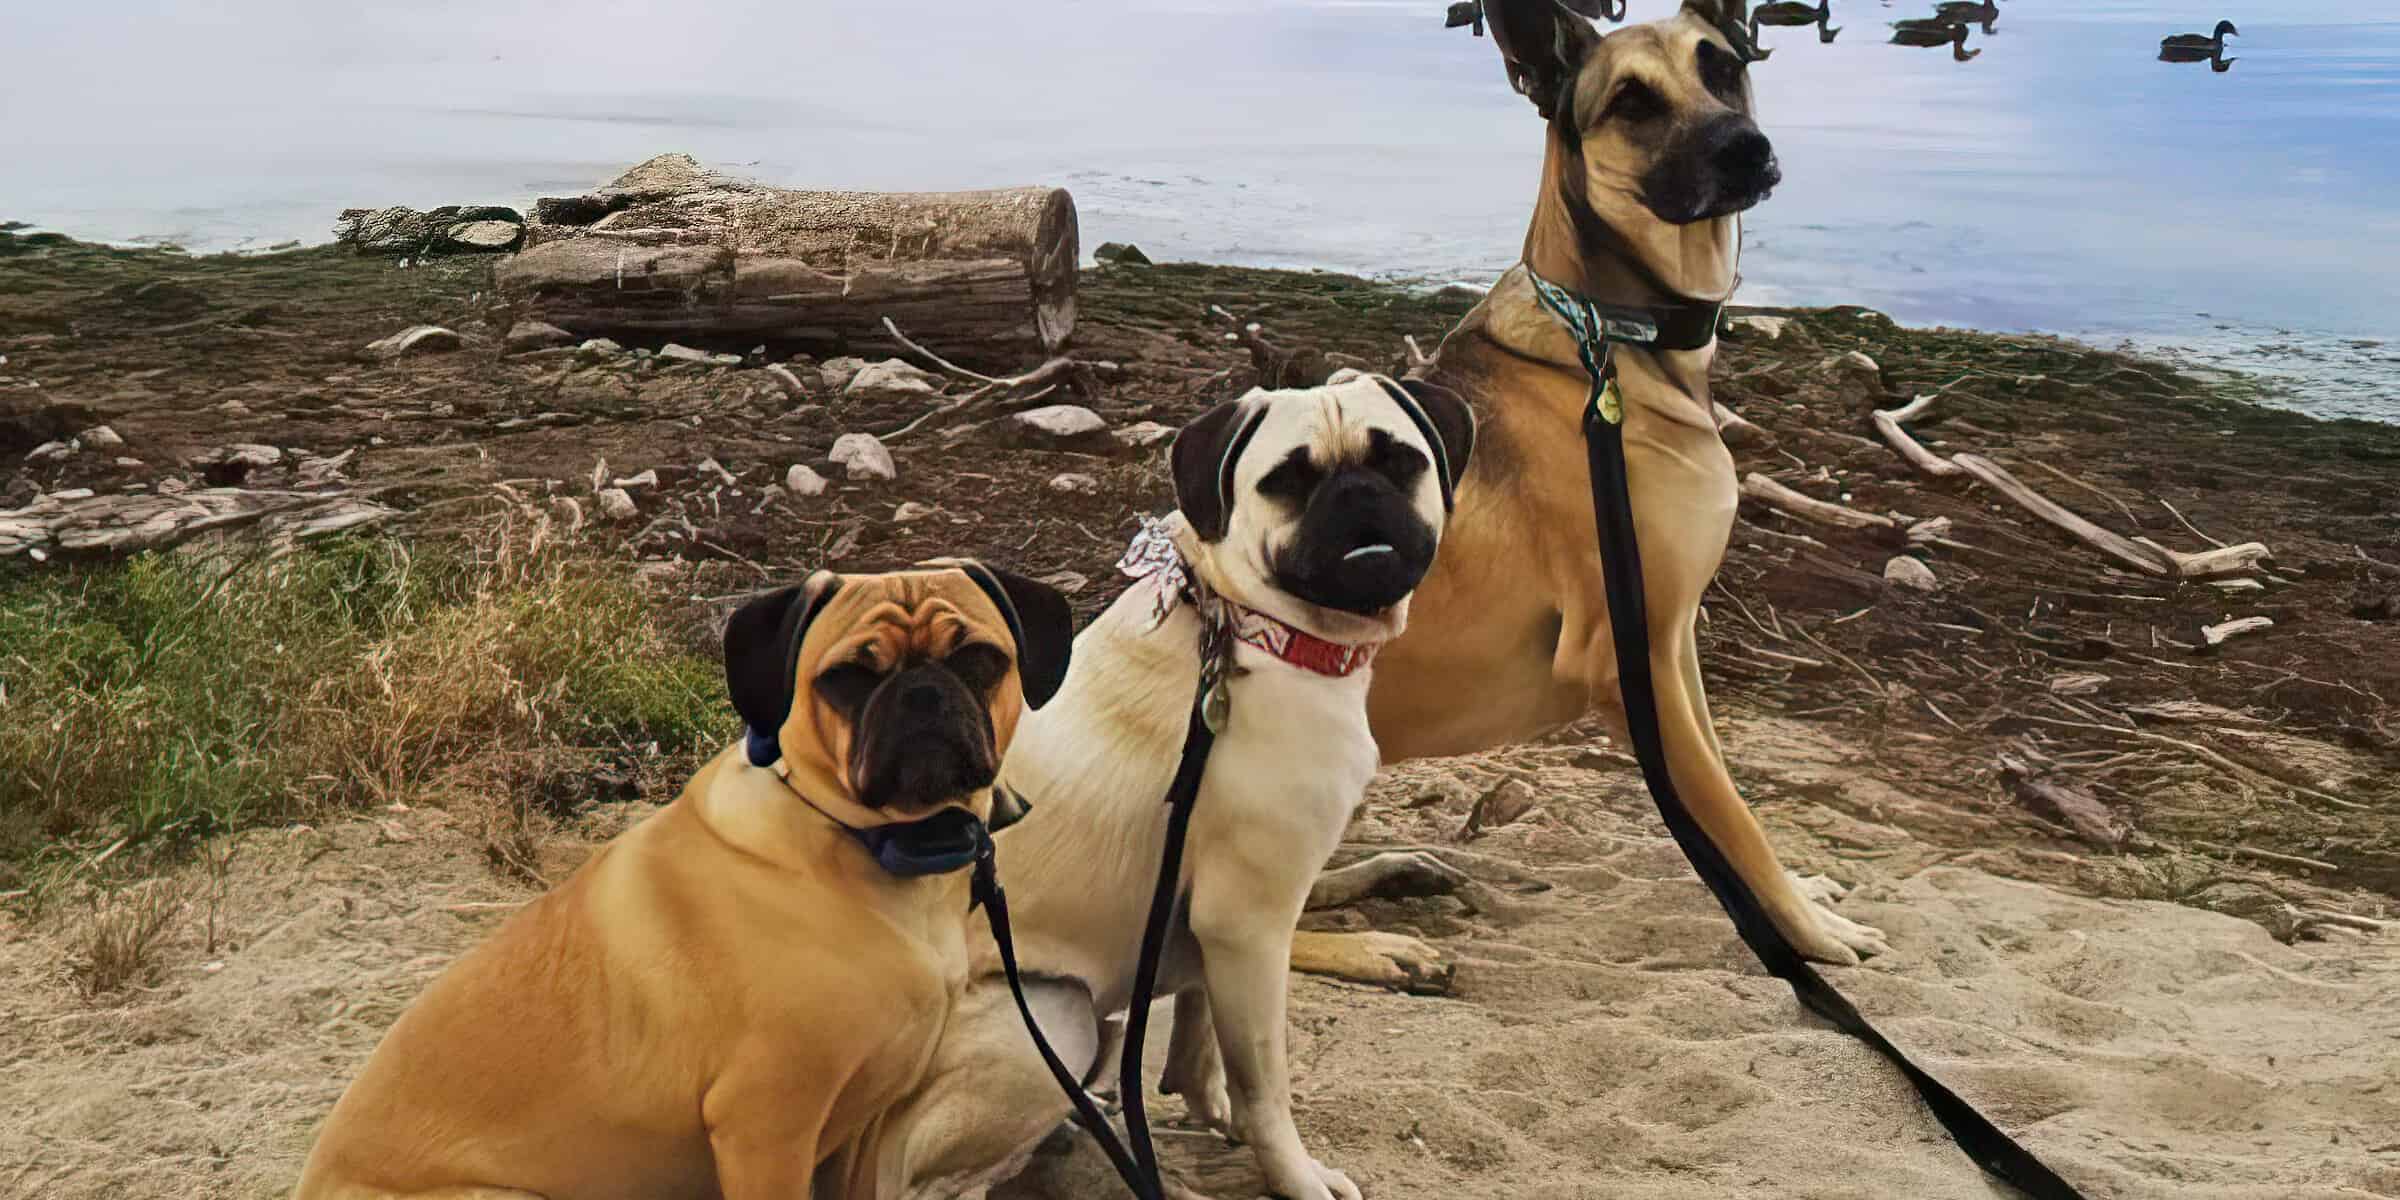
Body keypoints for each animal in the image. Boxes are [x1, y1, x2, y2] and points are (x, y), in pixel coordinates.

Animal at [290, 561, 1070, 1200]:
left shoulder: (862, 1129)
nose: (923, 696)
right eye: (847, 678)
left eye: (979, 659)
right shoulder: (767, 1128)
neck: (871, 843)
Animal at [1315, 0, 1891, 969]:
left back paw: (1390, 875)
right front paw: (1808, 933)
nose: (1746, 149)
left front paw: (1794, 906)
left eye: (1724, 66)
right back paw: (1373, 951)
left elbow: (1723, 794)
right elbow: (1733, 819)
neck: (1610, 334)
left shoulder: (1673, 643)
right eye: (1631, 102)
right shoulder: (1628, 659)